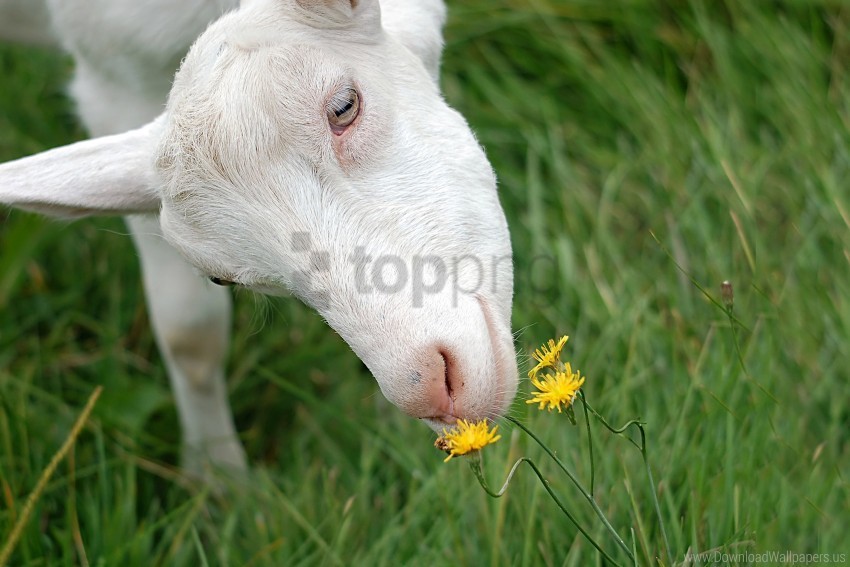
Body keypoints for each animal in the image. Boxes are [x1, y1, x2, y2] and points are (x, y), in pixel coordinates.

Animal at [0, 0, 516, 474]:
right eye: (222, 279)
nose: (429, 389)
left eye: (344, 106)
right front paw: (219, 479)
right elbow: (189, 334)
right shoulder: (113, 75)